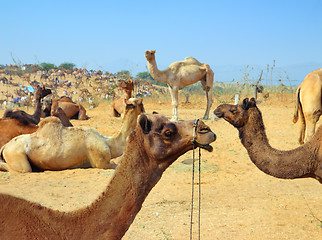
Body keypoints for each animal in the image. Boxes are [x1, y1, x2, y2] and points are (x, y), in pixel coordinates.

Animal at [0, 98, 143, 172]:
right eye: (140, 103)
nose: (145, 110)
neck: (109, 142)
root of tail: (5, 147)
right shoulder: (101, 162)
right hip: (16, 155)